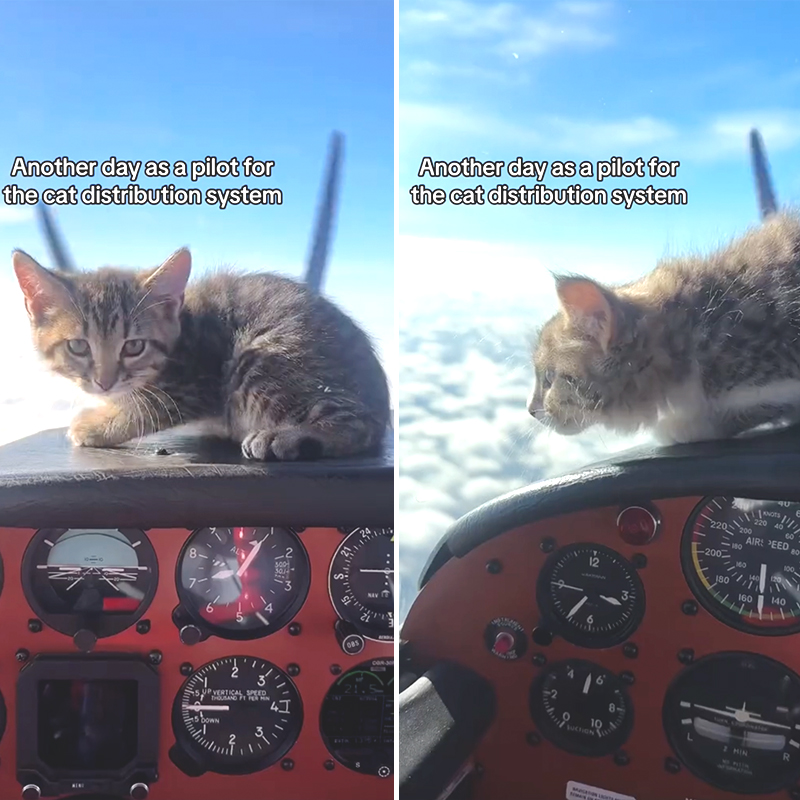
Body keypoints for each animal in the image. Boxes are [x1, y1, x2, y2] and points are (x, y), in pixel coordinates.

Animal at [10, 250, 390, 462]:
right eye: (78, 346)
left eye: (133, 346)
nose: (104, 383)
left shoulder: (195, 382)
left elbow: (143, 411)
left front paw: (93, 423)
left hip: (261, 357)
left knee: (360, 425)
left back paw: (283, 437)